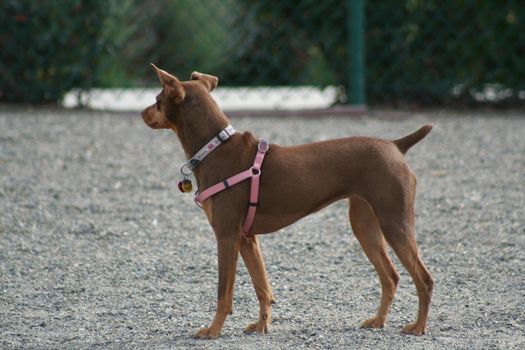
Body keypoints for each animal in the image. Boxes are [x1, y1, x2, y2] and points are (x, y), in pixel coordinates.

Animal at [140, 63, 434, 340]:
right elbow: (263, 288)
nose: (141, 113)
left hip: (394, 222)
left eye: (157, 99)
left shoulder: (226, 236)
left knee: (424, 279)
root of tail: (395, 145)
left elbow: (224, 293)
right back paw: (378, 321)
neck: (214, 149)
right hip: (365, 225)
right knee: (391, 277)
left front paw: (213, 330)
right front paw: (261, 326)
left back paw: (419, 327)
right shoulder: (247, 238)